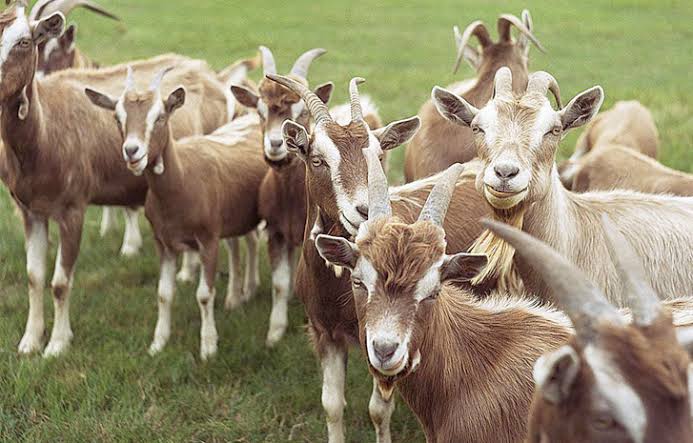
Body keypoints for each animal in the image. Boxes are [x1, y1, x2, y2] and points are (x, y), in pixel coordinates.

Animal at [85, 68, 267, 359]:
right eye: (117, 117)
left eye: (160, 116)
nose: (132, 151)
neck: (183, 181)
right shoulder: (164, 243)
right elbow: (163, 293)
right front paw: (158, 343)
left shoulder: (208, 240)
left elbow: (204, 294)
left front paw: (208, 346)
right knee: (247, 241)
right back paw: (240, 295)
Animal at [267, 74, 490, 443]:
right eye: (317, 159)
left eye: (380, 156)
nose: (364, 210)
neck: (337, 288)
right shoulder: (324, 331)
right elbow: (332, 405)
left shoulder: (380, 335)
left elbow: (378, 410)